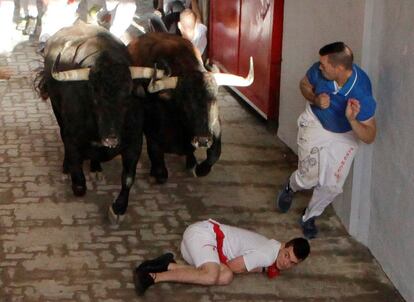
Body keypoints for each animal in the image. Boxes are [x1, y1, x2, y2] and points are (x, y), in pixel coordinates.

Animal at [35, 21, 165, 224]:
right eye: (95, 99)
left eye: (127, 97)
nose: (111, 138)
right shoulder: (71, 138)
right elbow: (79, 182)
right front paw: (72, 173)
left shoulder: (134, 142)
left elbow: (128, 178)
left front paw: (118, 209)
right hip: (57, 110)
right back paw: (66, 169)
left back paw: (96, 168)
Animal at [128, 32, 254, 184]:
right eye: (184, 102)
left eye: (213, 99)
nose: (202, 140)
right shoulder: (152, 133)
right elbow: (159, 164)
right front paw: (156, 173)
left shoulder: (216, 129)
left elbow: (214, 155)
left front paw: (198, 167)